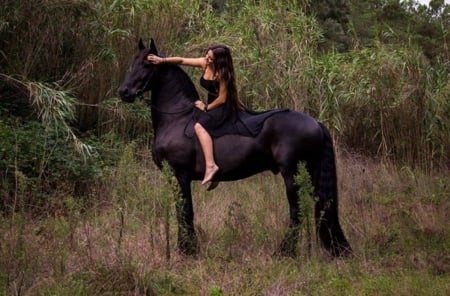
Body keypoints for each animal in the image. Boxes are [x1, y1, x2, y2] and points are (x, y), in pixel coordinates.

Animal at [118, 39, 350, 256]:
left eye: (147, 65)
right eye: (133, 62)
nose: (124, 92)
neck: (177, 118)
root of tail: (315, 123)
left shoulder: (180, 176)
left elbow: (185, 212)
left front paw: (188, 250)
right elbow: (183, 212)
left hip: (292, 174)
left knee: (296, 210)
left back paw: (284, 251)